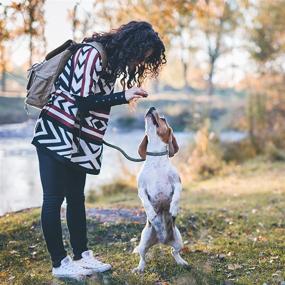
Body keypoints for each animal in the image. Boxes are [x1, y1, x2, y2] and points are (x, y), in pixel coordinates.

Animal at [131, 105, 189, 272]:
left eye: (163, 119)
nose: (151, 106)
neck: (156, 157)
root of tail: (162, 240)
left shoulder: (177, 183)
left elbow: (176, 196)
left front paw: (174, 209)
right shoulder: (141, 189)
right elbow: (145, 202)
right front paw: (151, 213)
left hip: (179, 240)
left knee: (174, 252)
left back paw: (181, 262)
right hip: (143, 241)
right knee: (143, 257)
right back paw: (140, 268)